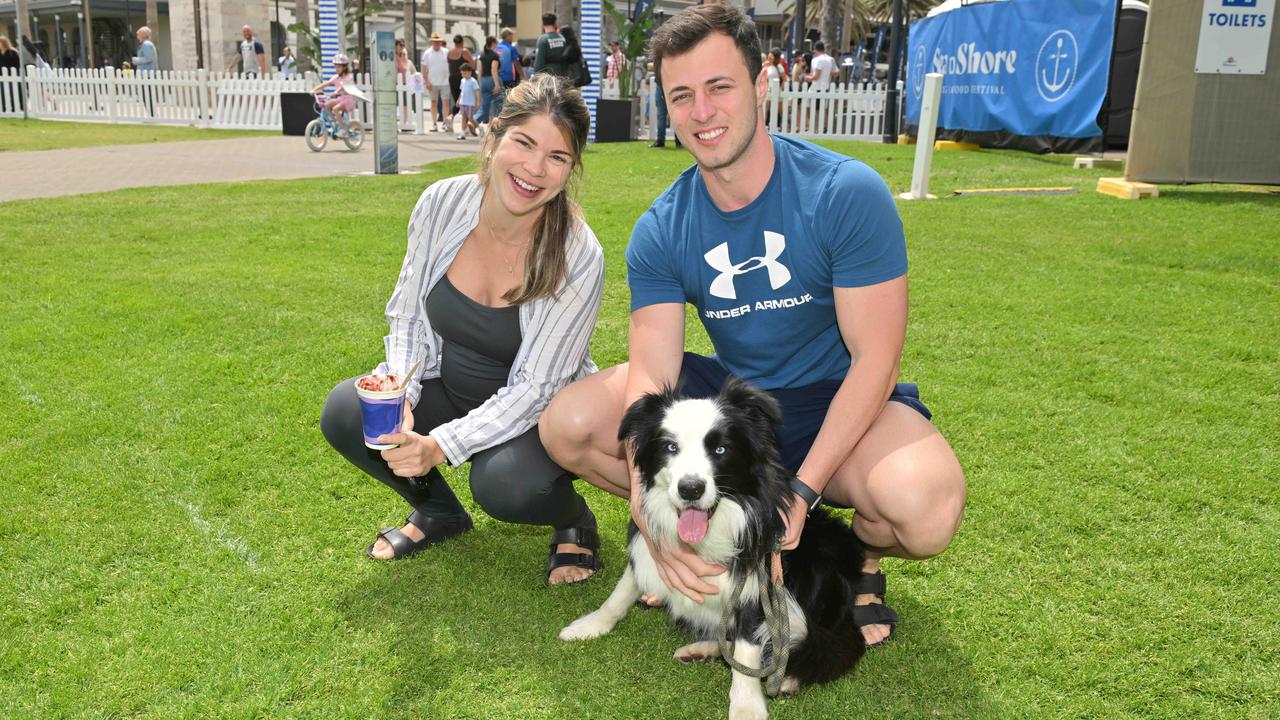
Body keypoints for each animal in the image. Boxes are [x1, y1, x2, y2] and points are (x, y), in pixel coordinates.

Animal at [563, 379, 870, 712]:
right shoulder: (647, 546)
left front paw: (747, 705)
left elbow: (748, 645)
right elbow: (621, 592)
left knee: (826, 645)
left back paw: (788, 676)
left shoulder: (757, 581)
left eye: (720, 449)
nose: (690, 489)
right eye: (670, 447)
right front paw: (591, 624)